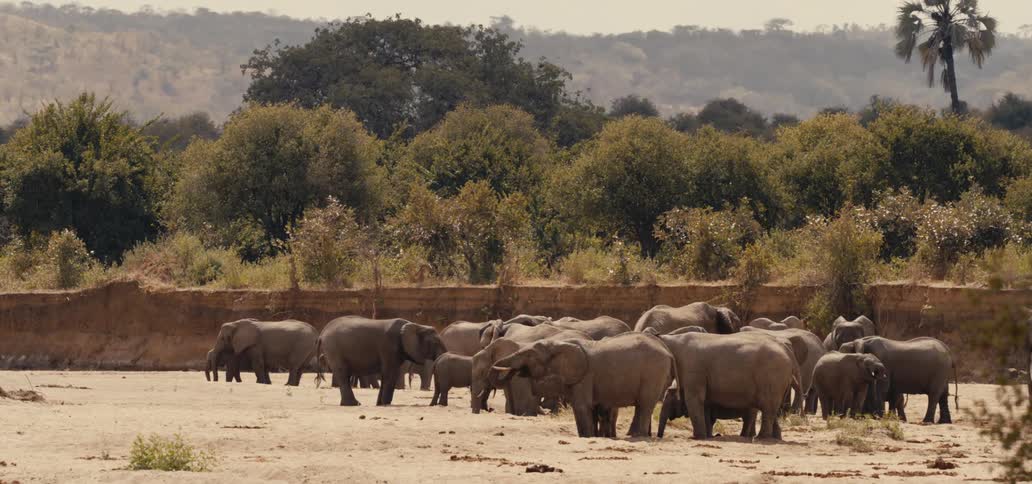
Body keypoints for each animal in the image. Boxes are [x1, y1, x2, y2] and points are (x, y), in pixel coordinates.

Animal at [315, 316, 446, 406]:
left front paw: (380, 404)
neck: (416, 325)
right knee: (342, 373)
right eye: (436, 343)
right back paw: (353, 404)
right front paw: (385, 404)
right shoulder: (389, 347)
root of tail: (322, 333)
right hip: (334, 349)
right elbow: (390, 373)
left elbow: (386, 374)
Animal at [490, 332, 674, 438]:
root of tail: (668, 351)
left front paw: (587, 437)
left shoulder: (585, 376)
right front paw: (589, 436)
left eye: (529, 355)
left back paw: (637, 437)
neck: (558, 344)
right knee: (642, 406)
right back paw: (633, 435)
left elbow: (581, 406)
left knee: (644, 405)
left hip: (654, 372)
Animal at [656, 332, 799, 440]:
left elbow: (694, 399)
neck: (671, 339)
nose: (659, 437)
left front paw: (697, 438)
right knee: (771, 408)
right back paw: (774, 438)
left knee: (768, 408)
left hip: (772, 377)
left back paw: (760, 438)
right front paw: (706, 436)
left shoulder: (694, 369)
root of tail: (787, 351)